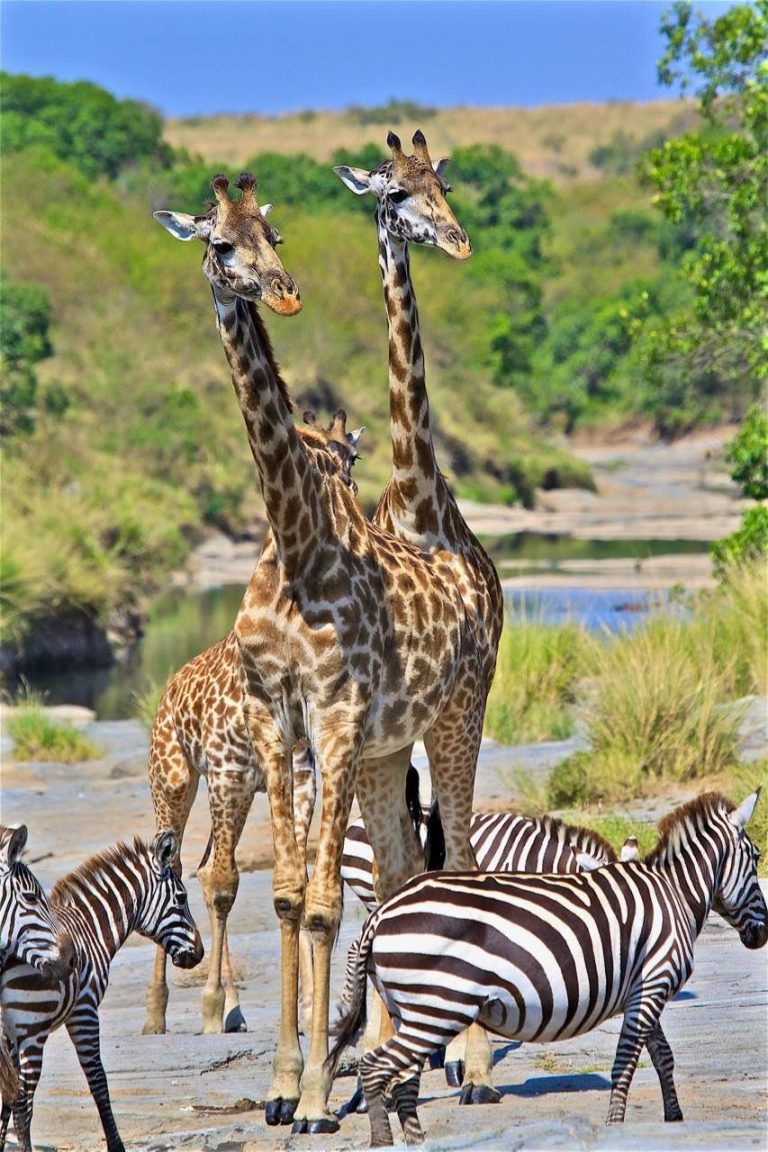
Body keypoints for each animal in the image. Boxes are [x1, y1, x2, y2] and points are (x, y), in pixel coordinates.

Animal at [0, 831, 204, 1152]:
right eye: (182, 898)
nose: (199, 953)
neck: (90, 924)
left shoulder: (10, 1035)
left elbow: (4, 1102)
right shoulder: (84, 1010)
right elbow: (97, 1079)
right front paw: (116, 1145)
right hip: (32, 1030)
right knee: (24, 1103)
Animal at [141, 413, 364, 1038]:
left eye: (351, 458)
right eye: (311, 456)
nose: (346, 508)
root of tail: (166, 694)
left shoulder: (303, 776)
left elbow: (298, 873)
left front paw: (309, 1006)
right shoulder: (228, 771)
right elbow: (223, 884)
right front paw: (213, 1004)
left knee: (199, 866)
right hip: (176, 779)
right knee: (176, 864)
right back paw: (158, 1012)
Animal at [328, 790, 767, 1146]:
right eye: (758, 857)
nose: (762, 935)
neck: (674, 892)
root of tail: (382, 916)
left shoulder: (642, 988)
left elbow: (662, 1056)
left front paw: (674, 1119)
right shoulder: (653, 983)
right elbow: (626, 1062)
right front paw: (617, 1128)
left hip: (414, 1011)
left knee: (402, 1076)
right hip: (435, 1008)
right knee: (376, 1066)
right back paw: (384, 1139)